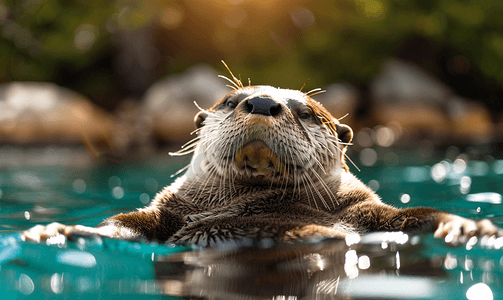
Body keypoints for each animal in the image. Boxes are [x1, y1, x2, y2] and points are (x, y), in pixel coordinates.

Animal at [24, 72, 503, 246]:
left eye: (306, 111)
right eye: (230, 100)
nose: (262, 103)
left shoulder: (365, 211)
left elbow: (414, 214)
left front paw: (467, 227)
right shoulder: (166, 215)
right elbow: (122, 224)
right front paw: (62, 231)